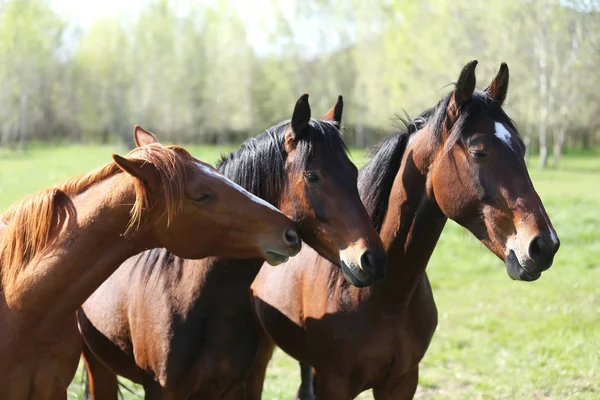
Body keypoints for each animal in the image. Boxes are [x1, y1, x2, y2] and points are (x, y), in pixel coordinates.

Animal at [78, 95, 384, 398]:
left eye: (353, 171)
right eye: (312, 176)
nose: (371, 258)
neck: (192, 297)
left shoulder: (233, 387)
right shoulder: (162, 390)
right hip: (97, 366)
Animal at [248, 60, 556, 400]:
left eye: (522, 148)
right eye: (479, 152)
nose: (544, 245)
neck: (384, 299)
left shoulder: (402, 381)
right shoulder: (334, 383)